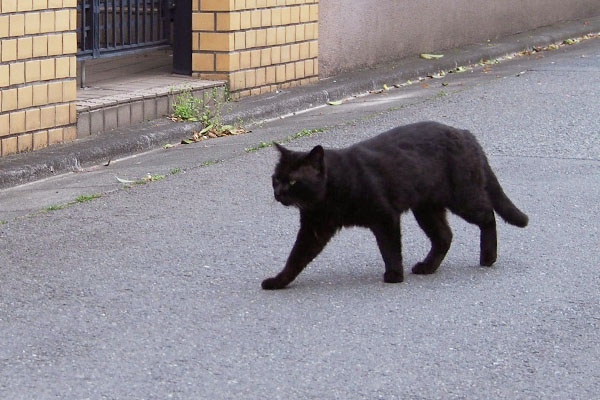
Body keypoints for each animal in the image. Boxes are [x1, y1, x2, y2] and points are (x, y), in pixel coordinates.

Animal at [264, 120, 528, 290]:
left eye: (293, 181)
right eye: (276, 178)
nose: (278, 193)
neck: (330, 190)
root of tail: (465, 133)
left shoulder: (385, 216)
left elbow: (390, 248)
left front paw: (394, 275)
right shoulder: (314, 229)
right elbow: (296, 257)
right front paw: (279, 281)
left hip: (463, 197)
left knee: (488, 216)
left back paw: (488, 256)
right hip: (427, 208)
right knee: (444, 236)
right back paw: (427, 267)